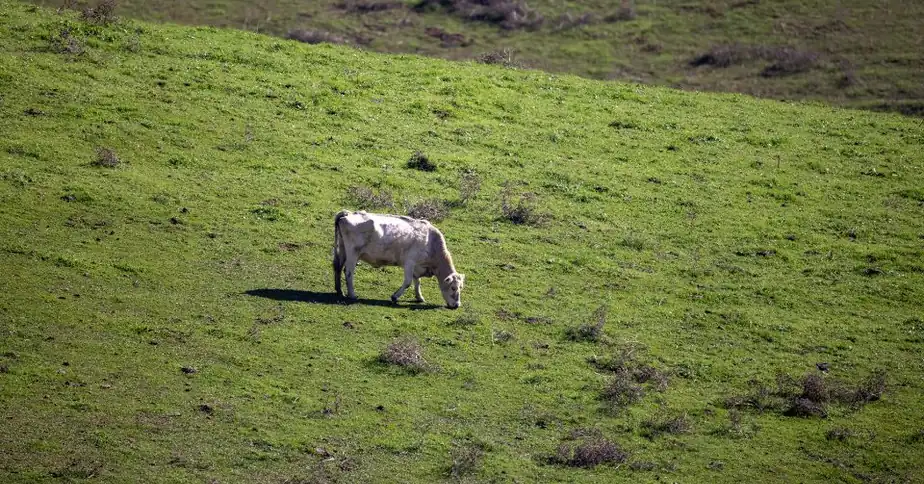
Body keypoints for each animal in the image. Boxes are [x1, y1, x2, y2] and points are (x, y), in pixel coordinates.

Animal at [332, 210, 465, 309]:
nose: (457, 305)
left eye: (461, 287)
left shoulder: (417, 266)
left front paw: (419, 297)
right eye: (453, 287)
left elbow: (417, 282)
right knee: (348, 272)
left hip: (343, 250)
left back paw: (340, 291)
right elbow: (408, 282)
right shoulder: (409, 262)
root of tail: (348, 213)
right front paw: (395, 297)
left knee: (338, 267)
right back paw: (352, 295)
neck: (431, 242)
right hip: (353, 253)